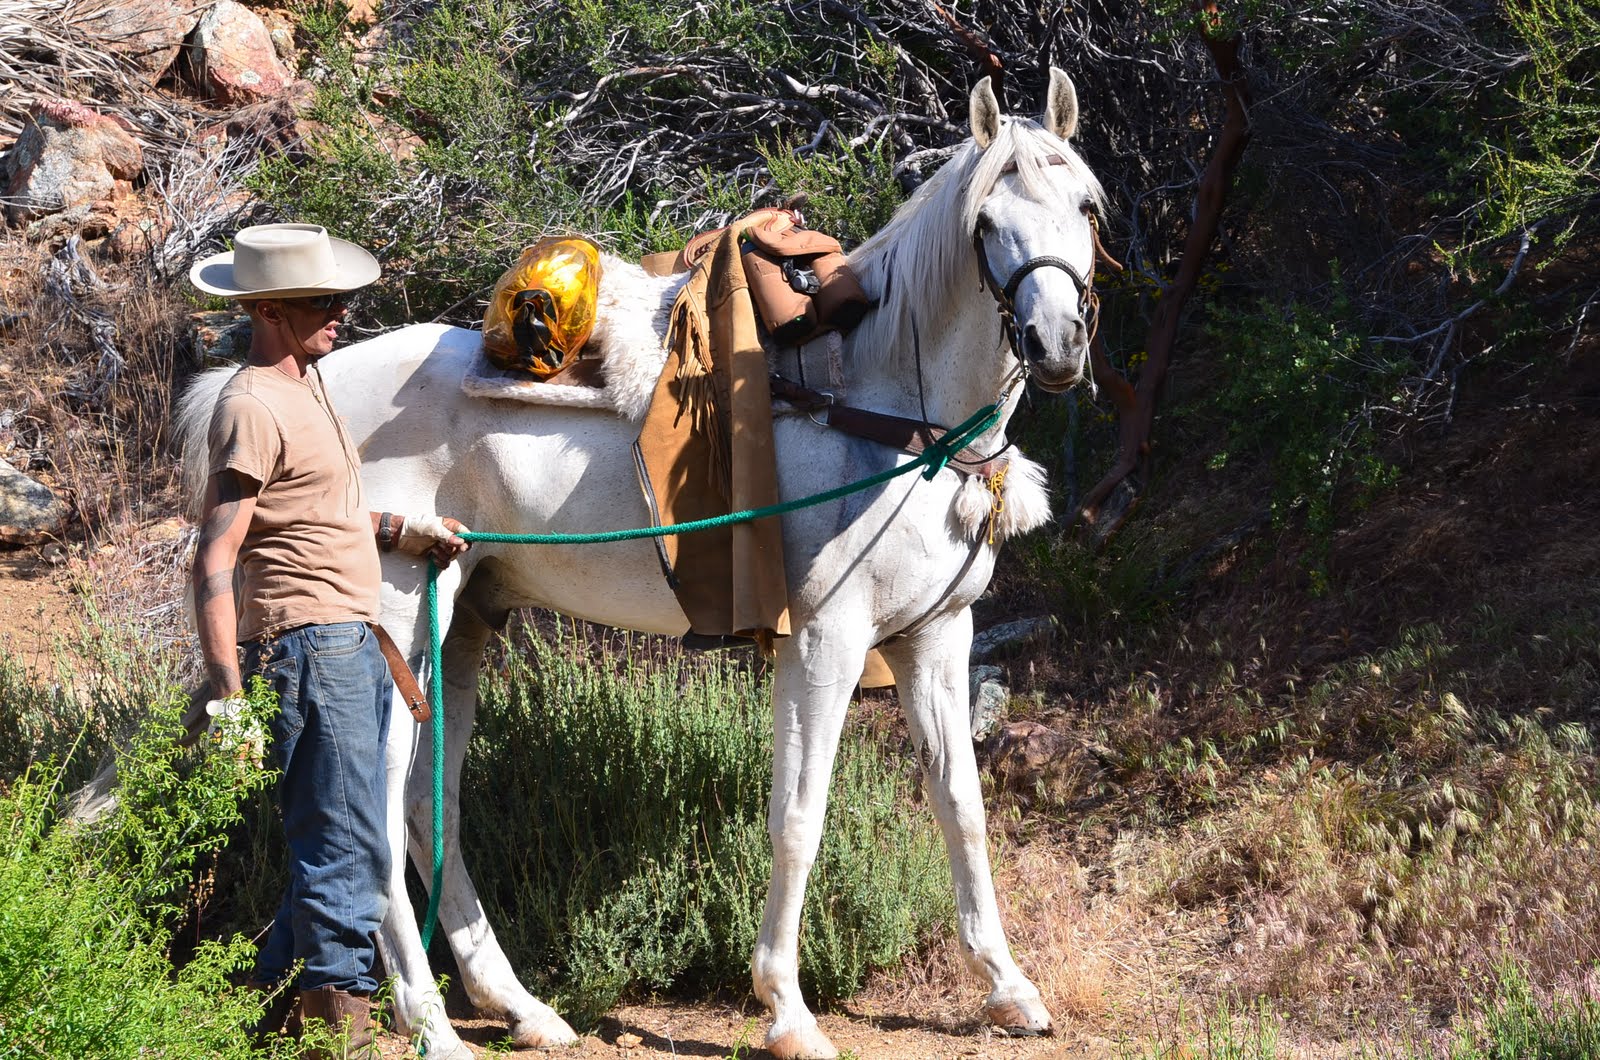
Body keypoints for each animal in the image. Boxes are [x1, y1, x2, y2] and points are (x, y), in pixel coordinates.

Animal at [177, 70, 1104, 1060]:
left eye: (1087, 208)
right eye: (987, 222)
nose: (1055, 344)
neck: (887, 408)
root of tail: (318, 385)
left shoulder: (936, 637)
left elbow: (961, 807)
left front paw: (1008, 987)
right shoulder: (824, 641)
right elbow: (798, 817)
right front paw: (786, 1010)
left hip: (461, 619)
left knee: (435, 812)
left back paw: (519, 1006)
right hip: (386, 633)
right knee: (377, 818)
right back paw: (430, 1022)